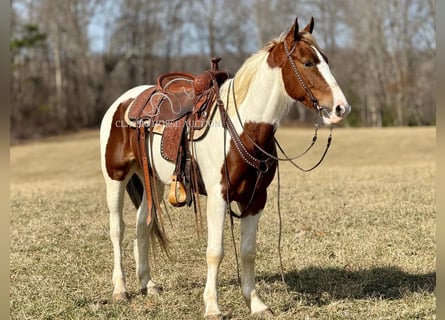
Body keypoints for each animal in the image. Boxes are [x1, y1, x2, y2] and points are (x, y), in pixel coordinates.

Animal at [99, 16, 350, 318]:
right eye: (308, 62)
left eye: (325, 59)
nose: (340, 108)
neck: (241, 129)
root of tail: (123, 100)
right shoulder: (218, 197)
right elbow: (215, 252)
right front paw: (212, 306)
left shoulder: (256, 199)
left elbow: (248, 251)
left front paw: (256, 303)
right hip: (115, 177)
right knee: (118, 229)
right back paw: (120, 289)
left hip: (154, 182)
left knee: (142, 225)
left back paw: (148, 284)